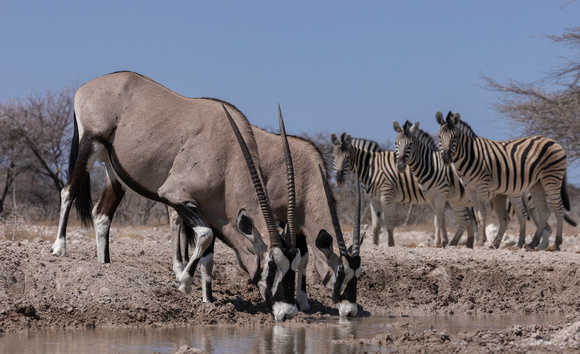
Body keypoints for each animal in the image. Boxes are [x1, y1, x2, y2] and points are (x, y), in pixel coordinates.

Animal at [334, 132, 474, 246]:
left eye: (347, 157)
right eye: (333, 157)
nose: (339, 181)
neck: (372, 168)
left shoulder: (387, 196)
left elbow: (389, 223)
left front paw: (390, 244)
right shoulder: (374, 200)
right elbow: (375, 226)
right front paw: (375, 245)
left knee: (465, 219)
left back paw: (455, 244)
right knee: (469, 220)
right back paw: (465, 245)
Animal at [438, 112, 572, 250]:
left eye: (455, 138)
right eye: (439, 137)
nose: (446, 159)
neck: (470, 154)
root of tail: (554, 141)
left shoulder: (482, 185)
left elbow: (482, 214)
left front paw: (481, 241)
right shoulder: (470, 188)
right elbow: (477, 214)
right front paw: (479, 241)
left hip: (551, 179)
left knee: (559, 209)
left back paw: (556, 243)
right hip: (537, 184)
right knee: (544, 212)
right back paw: (532, 243)